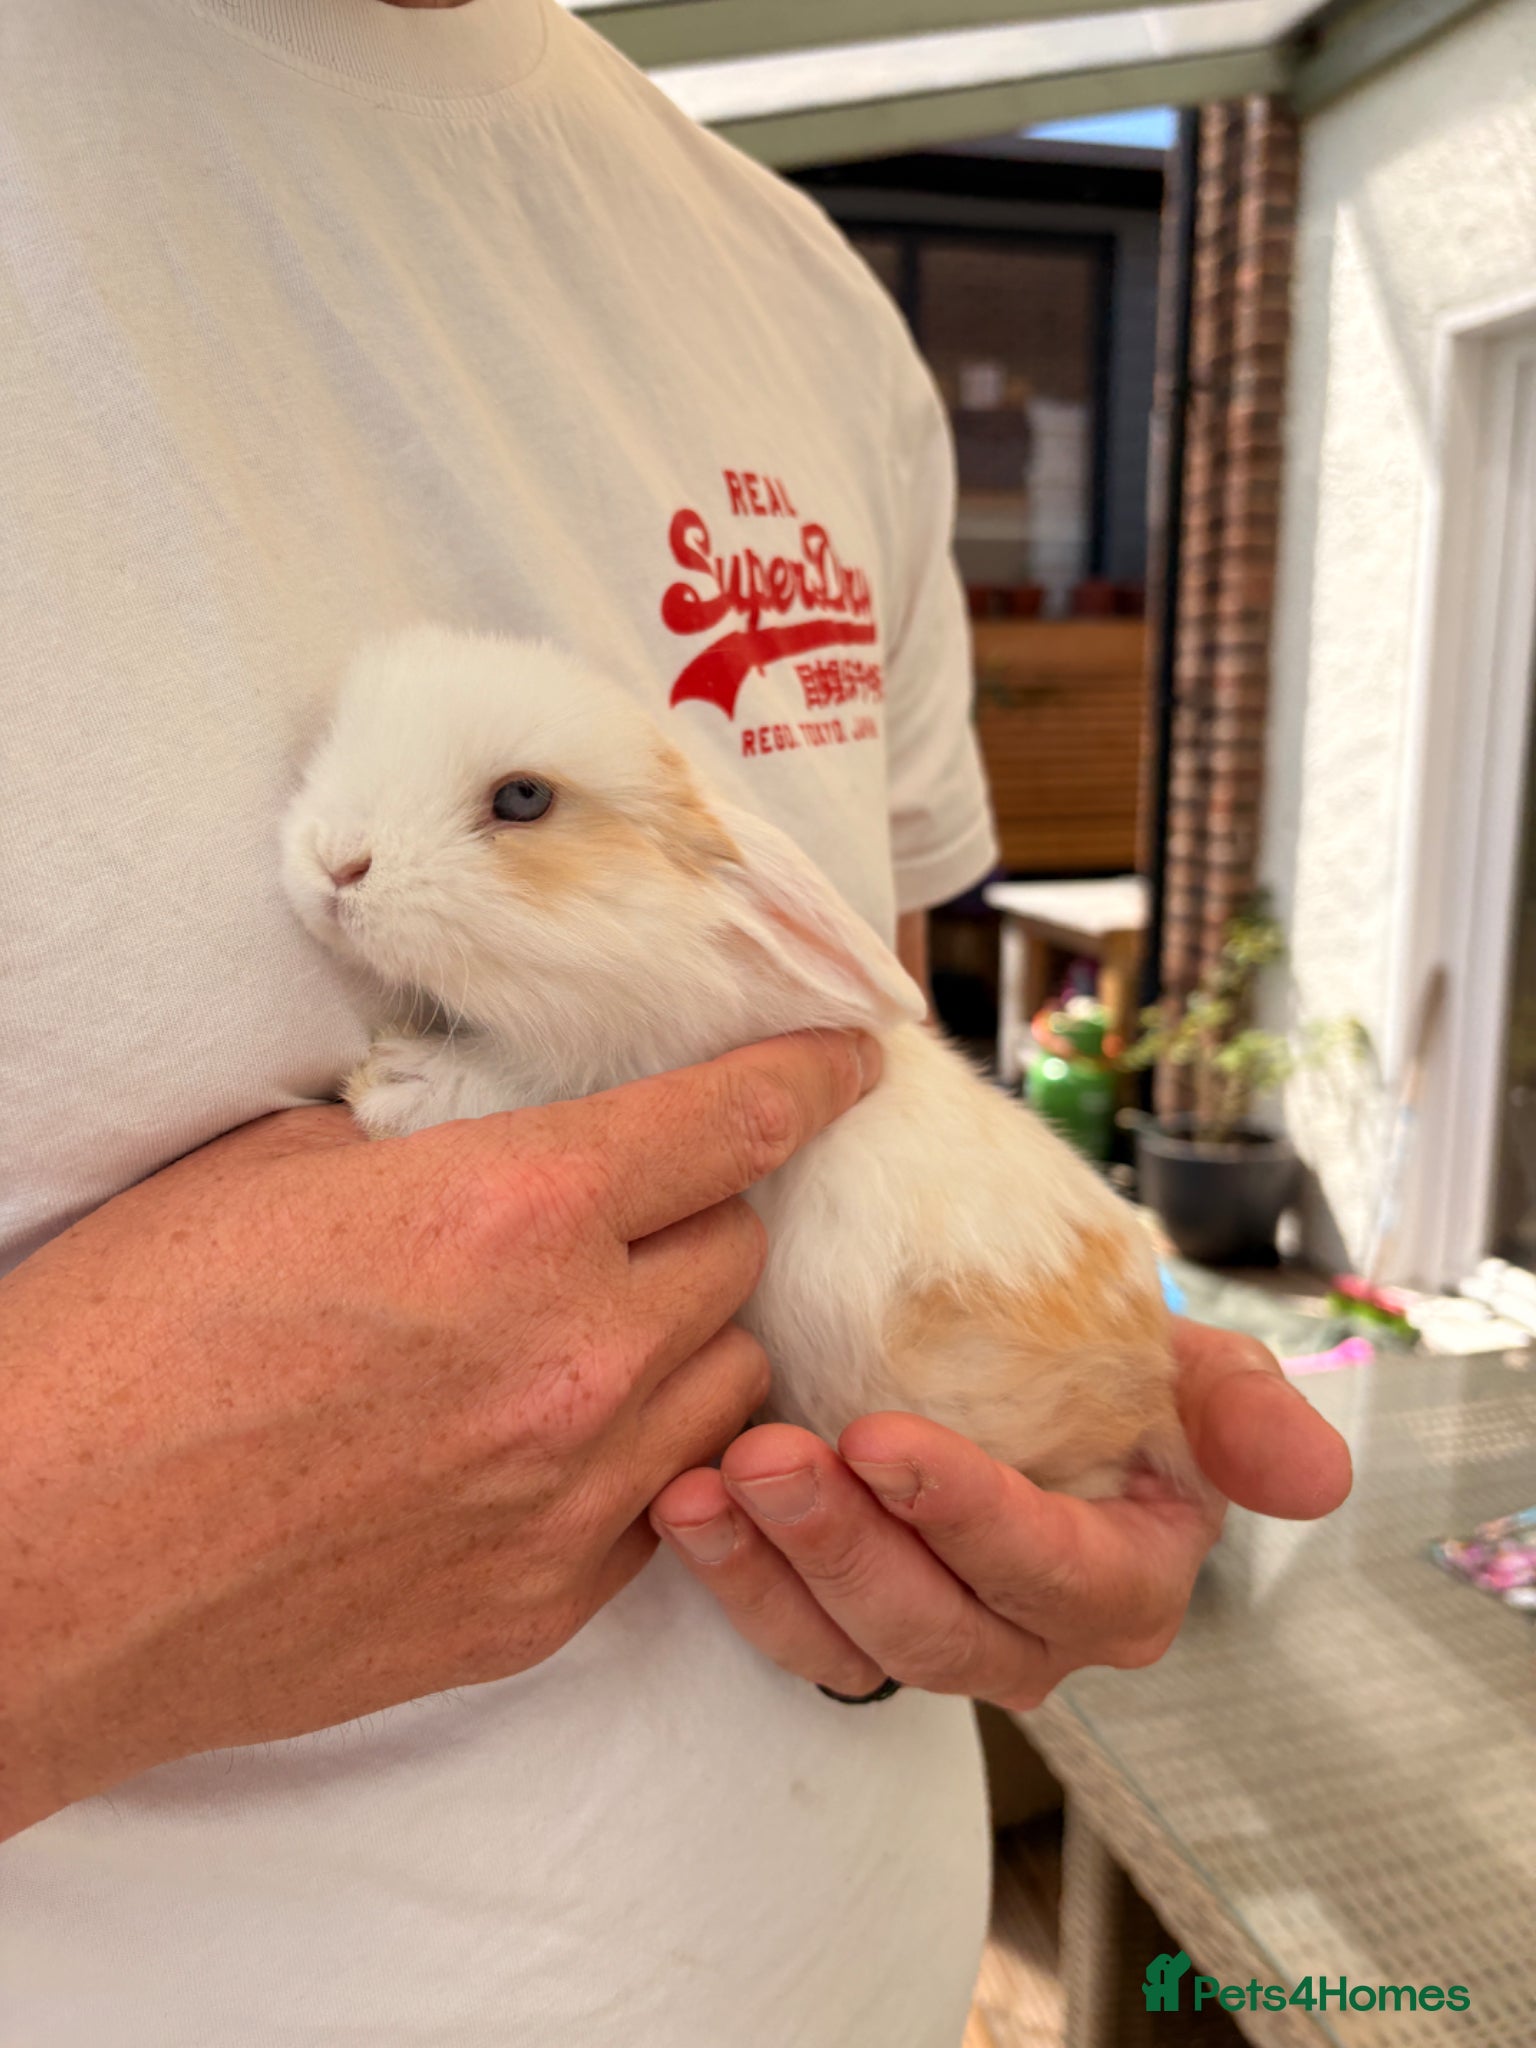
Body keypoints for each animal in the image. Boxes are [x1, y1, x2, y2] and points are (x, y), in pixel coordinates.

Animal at [280, 624, 1195, 1500]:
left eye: (523, 798)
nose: (337, 861)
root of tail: (1153, 1397)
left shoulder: (615, 1058)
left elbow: (527, 1082)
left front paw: (395, 1084)